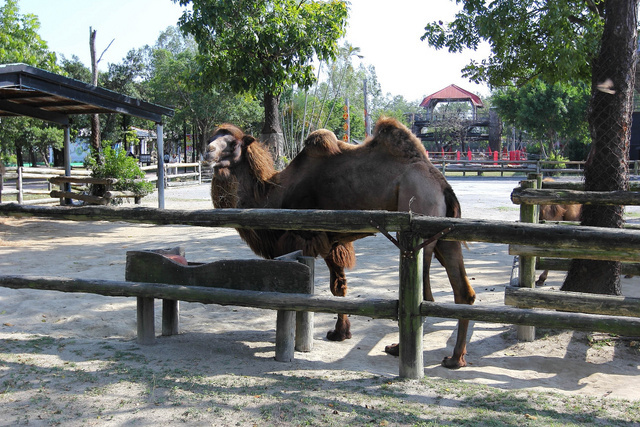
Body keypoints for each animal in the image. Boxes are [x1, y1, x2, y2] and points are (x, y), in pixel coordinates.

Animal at [205, 117, 476, 368]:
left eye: (232, 143)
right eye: (212, 136)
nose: (206, 151)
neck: (273, 196)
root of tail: (443, 185)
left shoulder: (305, 240)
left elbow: (311, 289)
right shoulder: (332, 242)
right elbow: (339, 287)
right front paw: (340, 332)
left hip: (419, 216)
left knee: (425, 295)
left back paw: (399, 349)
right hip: (444, 233)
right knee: (463, 293)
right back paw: (455, 359)